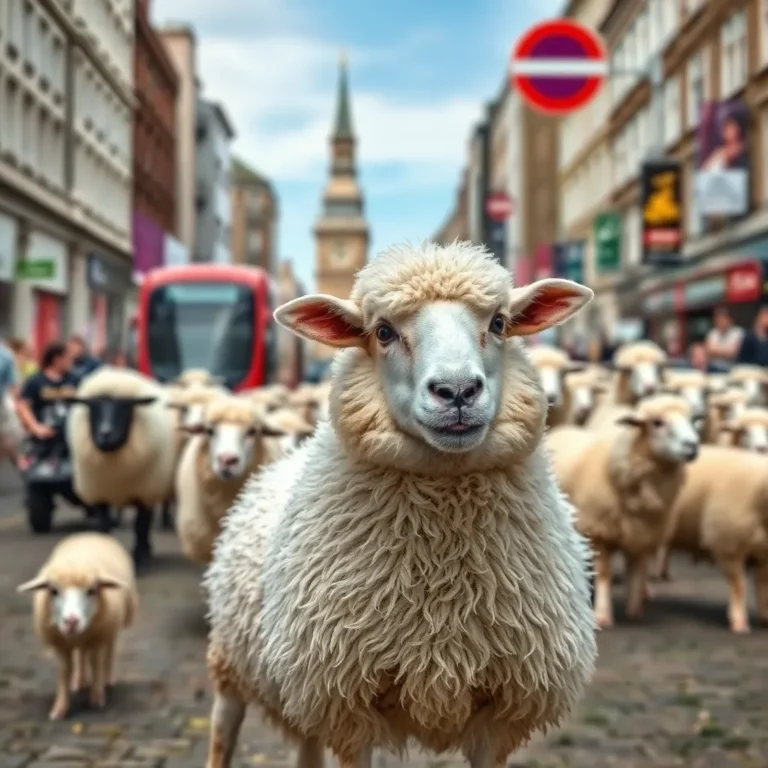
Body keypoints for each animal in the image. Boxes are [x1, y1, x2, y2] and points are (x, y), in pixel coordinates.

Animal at [16, 532, 137, 720]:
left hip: (110, 629)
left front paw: (97, 697)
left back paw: (108, 678)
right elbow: (65, 671)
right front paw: (60, 708)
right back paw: (80, 681)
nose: (71, 621)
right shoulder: (61, 645)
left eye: (92, 590)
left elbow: (95, 664)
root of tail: (89, 533)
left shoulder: (97, 637)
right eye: (53, 591)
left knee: (109, 649)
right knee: (81, 654)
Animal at [67, 367, 177, 566]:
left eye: (126, 408)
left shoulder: (144, 493)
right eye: (92, 408)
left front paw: (140, 556)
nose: (105, 433)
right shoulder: (100, 492)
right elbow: (103, 525)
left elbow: (141, 525)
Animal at [202, 240, 598, 768]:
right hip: (235, 663)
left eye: (498, 323)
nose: (457, 391)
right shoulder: (347, 704)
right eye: (384, 331)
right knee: (222, 731)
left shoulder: (504, 711)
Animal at [547, 392, 700, 628]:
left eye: (692, 420)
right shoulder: (599, 532)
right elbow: (605, 575)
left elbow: (637, 571)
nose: (692, 446)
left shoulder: (643, 534)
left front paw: (635, 610)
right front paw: (603, 615)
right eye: (657, 422)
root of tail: (563, 429)